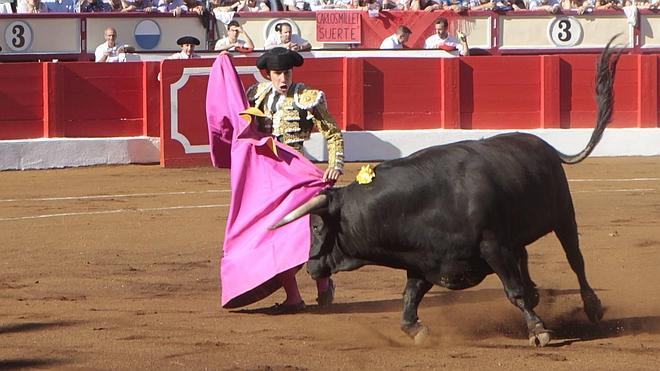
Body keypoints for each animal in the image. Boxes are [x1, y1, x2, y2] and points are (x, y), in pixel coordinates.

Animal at [270, 39, 620, 348]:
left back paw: (592, 306)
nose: (309, 267)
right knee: (527, 260)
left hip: (563, 216)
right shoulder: (425, 262)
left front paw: (539, 331)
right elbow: (408, 303)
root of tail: (546, 147)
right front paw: (418, 332)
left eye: (316, 226)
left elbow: (514, 291)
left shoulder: (494, 247)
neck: (420, 205)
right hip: (520, 235)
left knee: (575, 259)